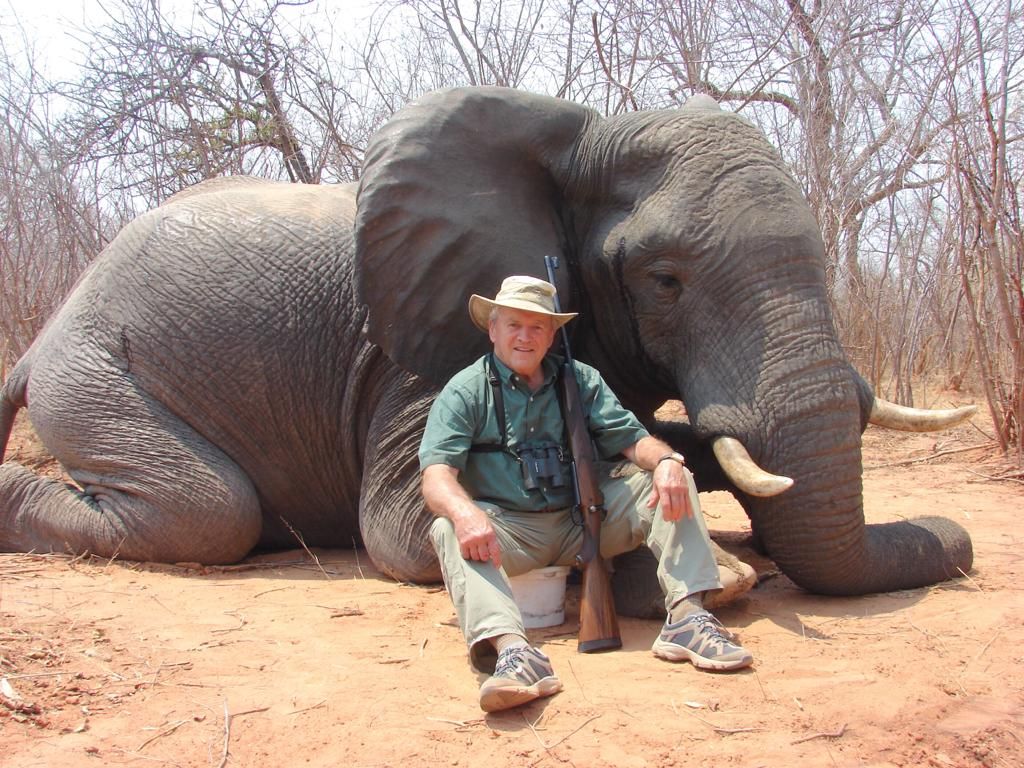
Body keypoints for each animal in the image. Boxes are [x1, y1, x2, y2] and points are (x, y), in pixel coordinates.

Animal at [0, 86, 974, 606]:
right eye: (665, 280)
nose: (956, 540)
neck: (575, 138)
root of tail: (48, 331)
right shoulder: (413, 355)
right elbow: (402, 533)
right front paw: (726, 572)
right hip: (93, 374)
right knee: (210, 509)